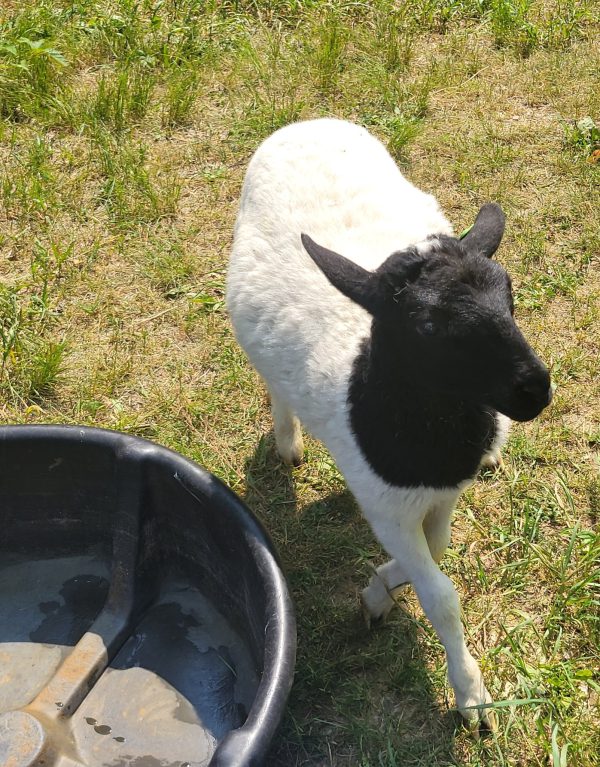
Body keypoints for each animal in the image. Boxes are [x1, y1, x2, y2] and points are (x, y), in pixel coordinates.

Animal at [226, 118, 552, 732]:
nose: (536, 390)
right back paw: (288, 441)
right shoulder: (386, 508)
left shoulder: (441, 496)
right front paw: (472, 697)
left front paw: (378, 590)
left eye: (510, 291)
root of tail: (306, 122)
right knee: (274, 383)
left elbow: (439, 549)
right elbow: (441, 595)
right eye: (426, 325)